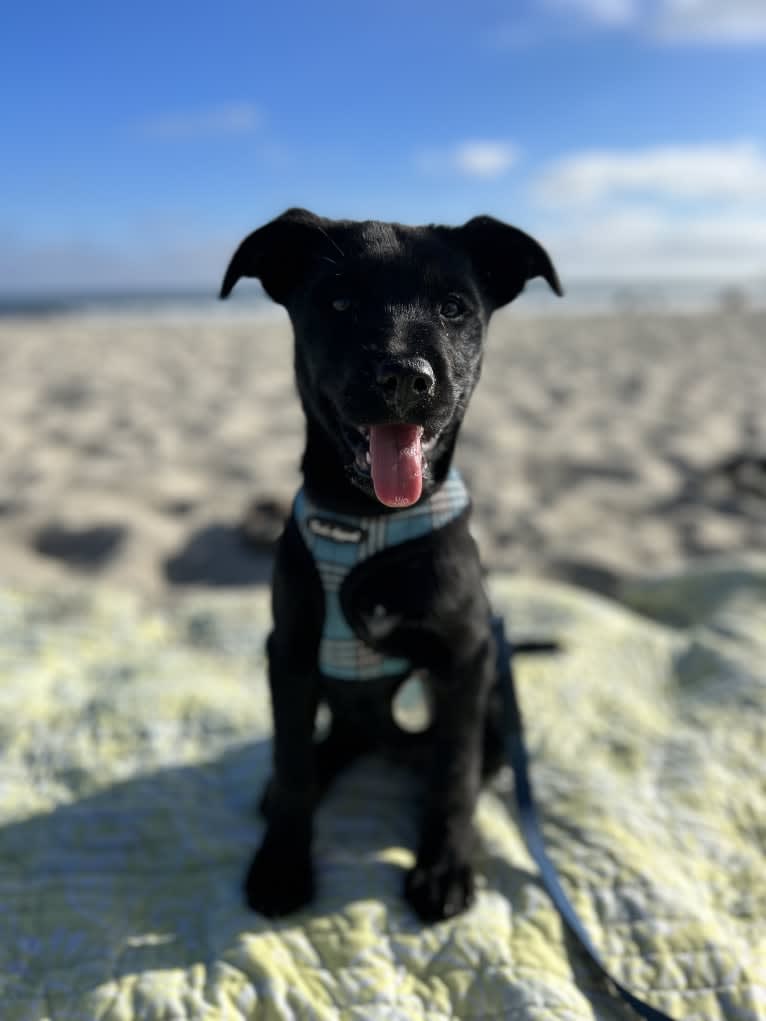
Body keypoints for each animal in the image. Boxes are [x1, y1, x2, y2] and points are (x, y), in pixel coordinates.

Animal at [218, 209, 559, 927]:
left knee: (467, 757)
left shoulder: (464, 658)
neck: (369, 522)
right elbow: (293, 763)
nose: (406, 377)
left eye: (455, 307)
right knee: (337, 740)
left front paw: (444, 865)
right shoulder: (289, 652)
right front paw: (282, 864)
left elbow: (453, 774)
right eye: (339, 302)